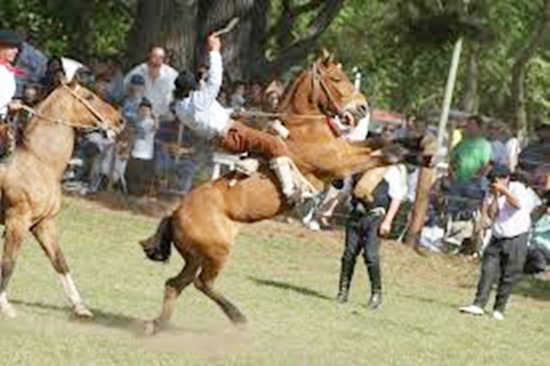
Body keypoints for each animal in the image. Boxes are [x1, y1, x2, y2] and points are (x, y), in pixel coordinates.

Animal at [0, 79, 122, 318]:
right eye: (89, 96)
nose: (119, 119)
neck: (38, 161)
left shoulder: (43, 223)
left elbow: (60, 261)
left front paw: (80, 306)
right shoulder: (16, 221)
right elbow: (9, 262)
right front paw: (4, 304)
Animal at [140, 51, 434, 334]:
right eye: (336, 78)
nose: (362, 107)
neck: (303, 128)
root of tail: (175, 214)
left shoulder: (345, 150)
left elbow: (379, 140)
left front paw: (420, 142)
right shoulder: (339, 161)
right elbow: (385, 152)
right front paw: (422, 155)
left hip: (195, 257)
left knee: (175, 283)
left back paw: (158, 325)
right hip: (216, 252)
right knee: (201, 283)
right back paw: (237, 317)